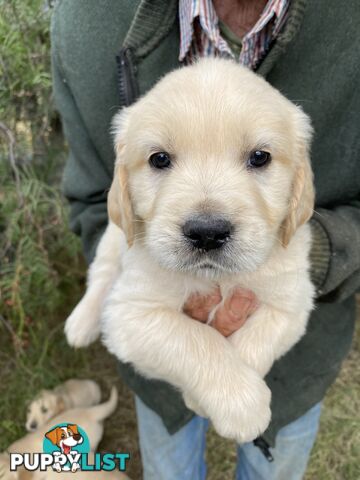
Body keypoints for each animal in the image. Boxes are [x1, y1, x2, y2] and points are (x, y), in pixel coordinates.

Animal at [64, 59, 316, 442]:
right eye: (159, 159)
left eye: (260, 157)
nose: (207, 233)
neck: (217, 279)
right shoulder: (131, 315)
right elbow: (196, 340)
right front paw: (241, 404)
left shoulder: (292, 303)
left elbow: (254, 343)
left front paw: (225, 402)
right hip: (114, 237)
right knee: (102, 275)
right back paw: (81, 323)